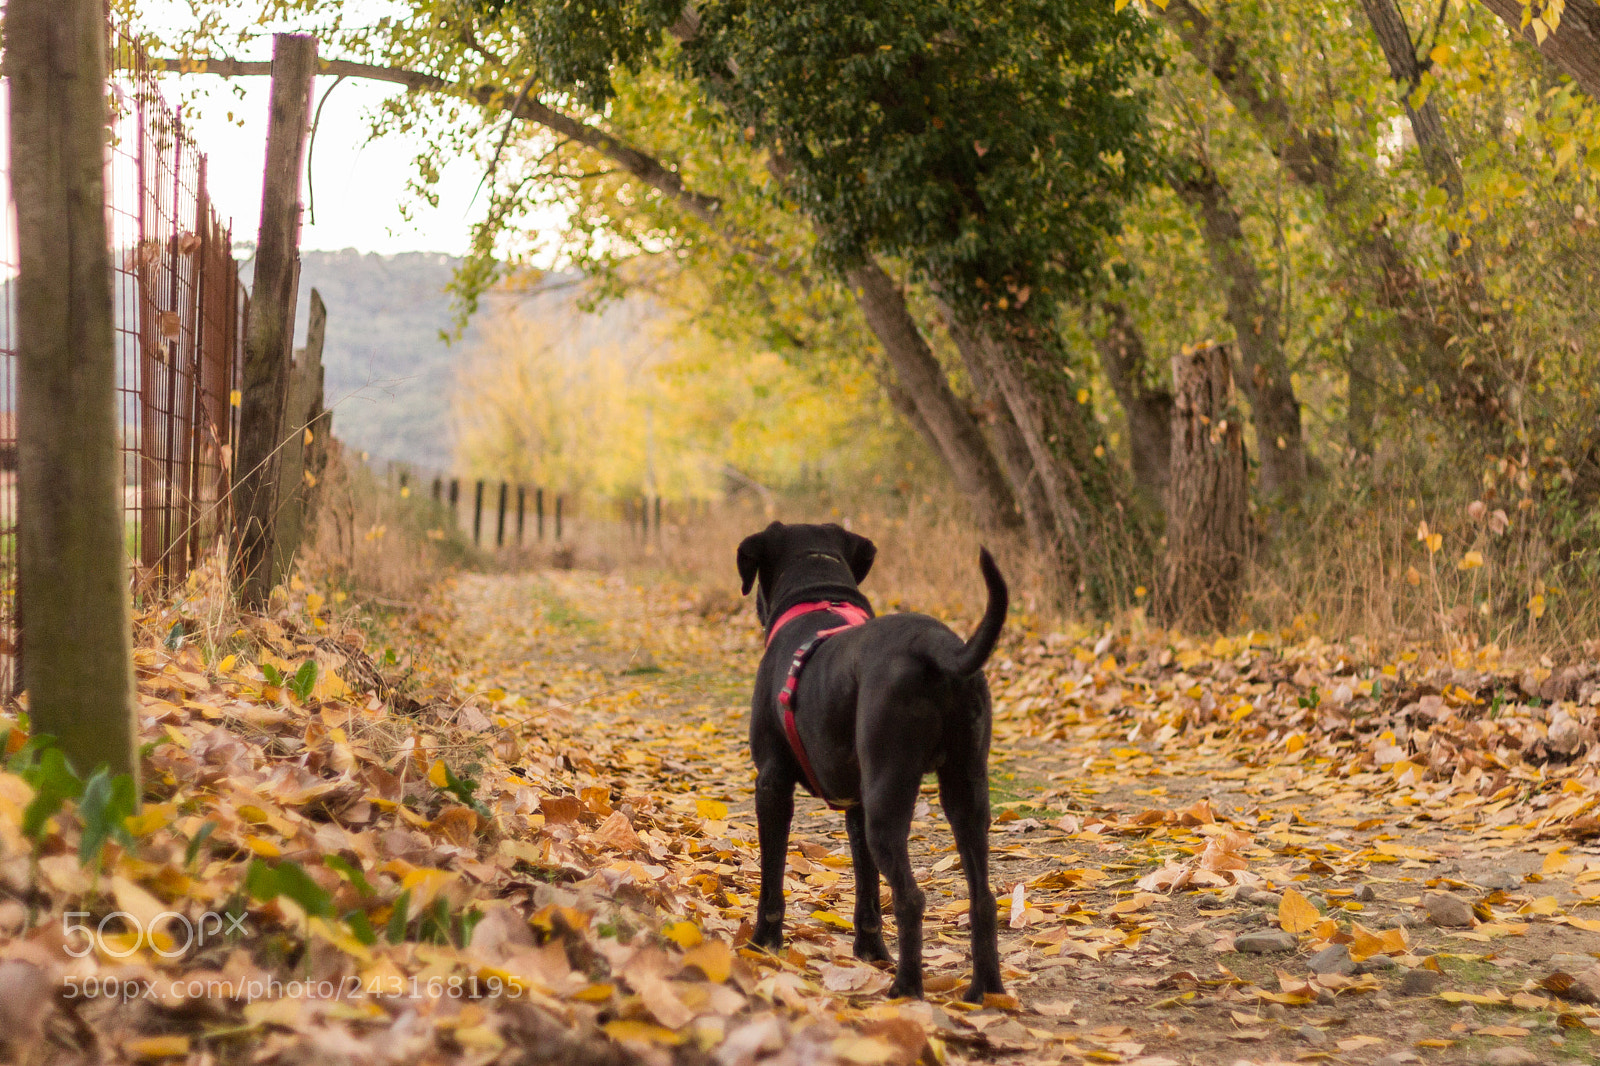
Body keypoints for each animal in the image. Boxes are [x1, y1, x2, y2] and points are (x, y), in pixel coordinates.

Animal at [732, 518, 1004, 998]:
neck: (818, 591)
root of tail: (935, 647)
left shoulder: (772, 784)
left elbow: (772, 880)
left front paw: (764, 942)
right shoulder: (855, 803)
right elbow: (867, 890)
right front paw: (871, 952)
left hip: (889, 796)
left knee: (911, 897)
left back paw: (906, 988)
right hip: (964, 789)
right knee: (983, 898)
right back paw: (985, 991)